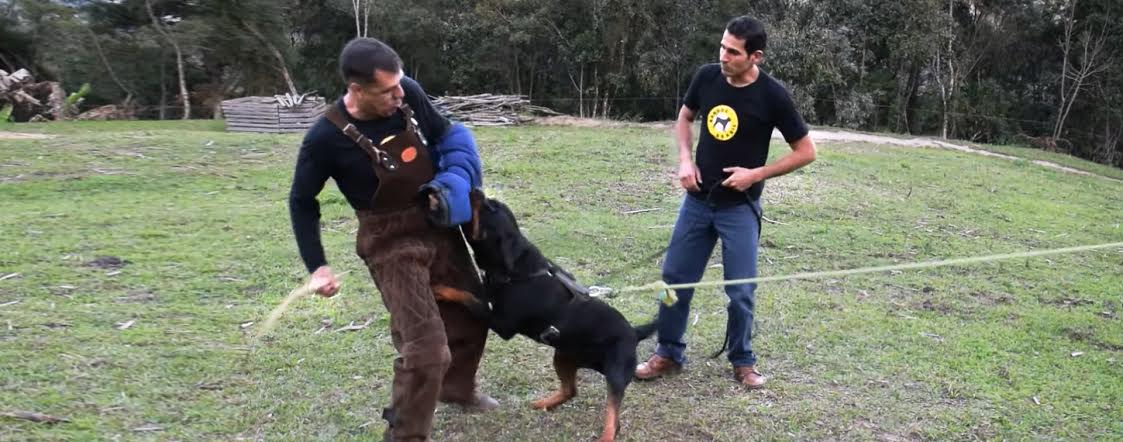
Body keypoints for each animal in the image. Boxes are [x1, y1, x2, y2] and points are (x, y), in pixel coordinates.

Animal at [431, 194, 655, 441]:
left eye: (490, 207)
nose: (478, 192)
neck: (517, 272)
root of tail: (634, 331)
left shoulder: (502, 324)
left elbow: (468, 297)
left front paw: (442, 289)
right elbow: (475, 294)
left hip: (615, 373)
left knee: (613, 415)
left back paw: (605, 434)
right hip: (563, 357)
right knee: (570, 390)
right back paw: (544, 403)